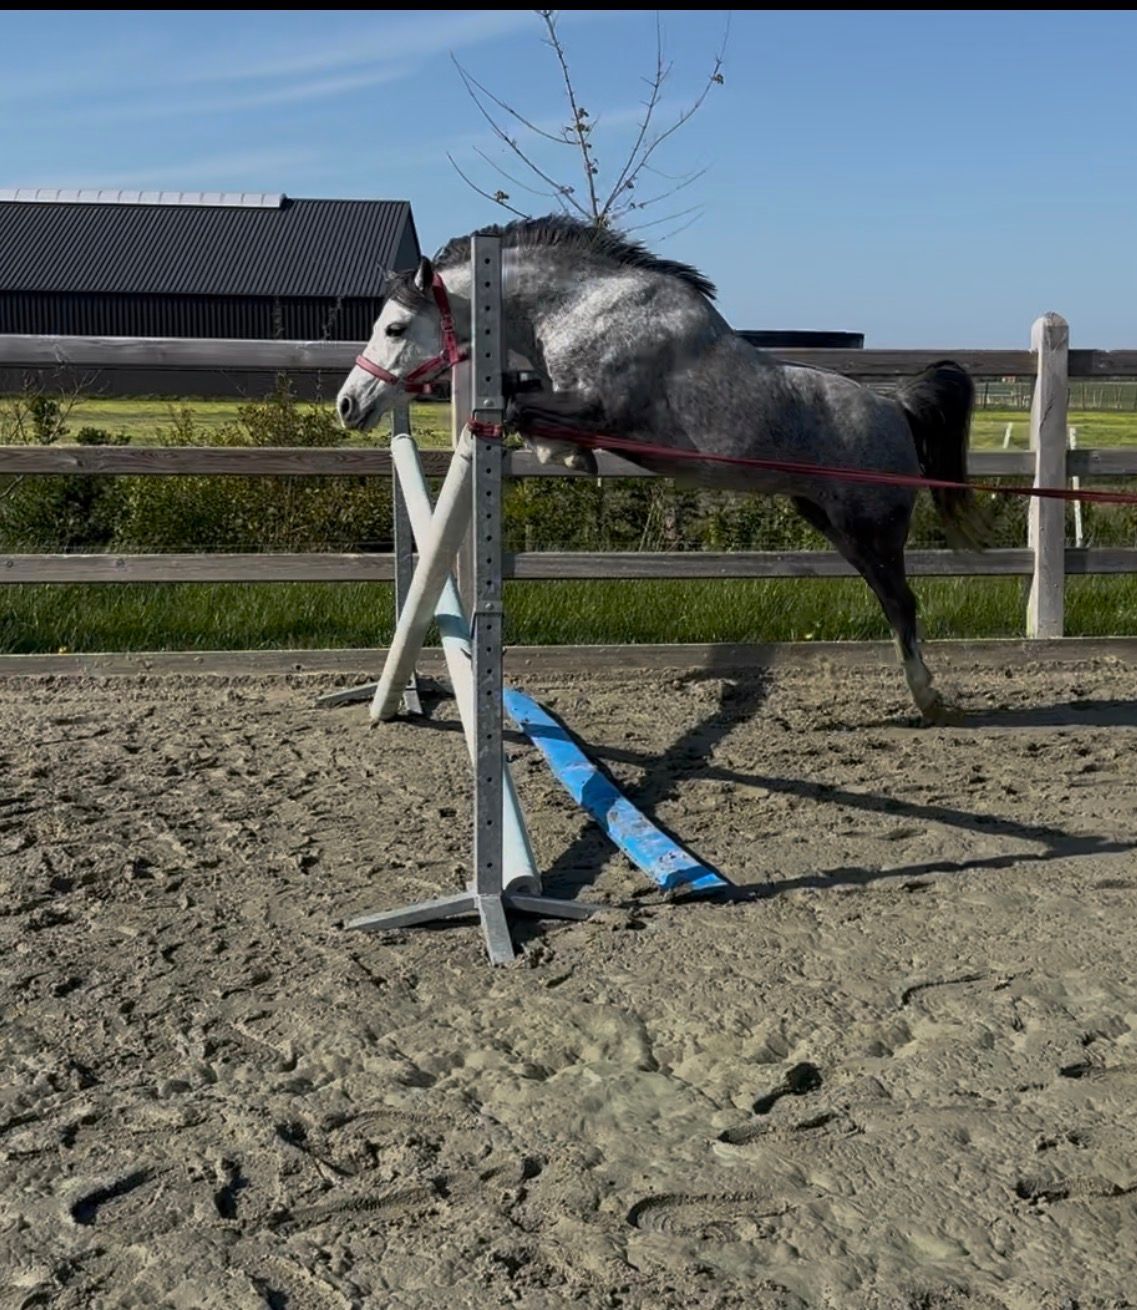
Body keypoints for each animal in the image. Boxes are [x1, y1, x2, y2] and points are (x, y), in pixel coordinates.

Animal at [335, 215, 985, 724]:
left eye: (395, 328)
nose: (348, 404)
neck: (583, 305)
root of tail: (895, 408)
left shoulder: (601, 407)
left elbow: (523, 406)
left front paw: (566, 452)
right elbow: (520, 400)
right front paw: (561, 452)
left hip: (871, 530)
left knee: (903, 604)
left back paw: (928, 700)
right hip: (830, 522)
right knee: (891, 602)